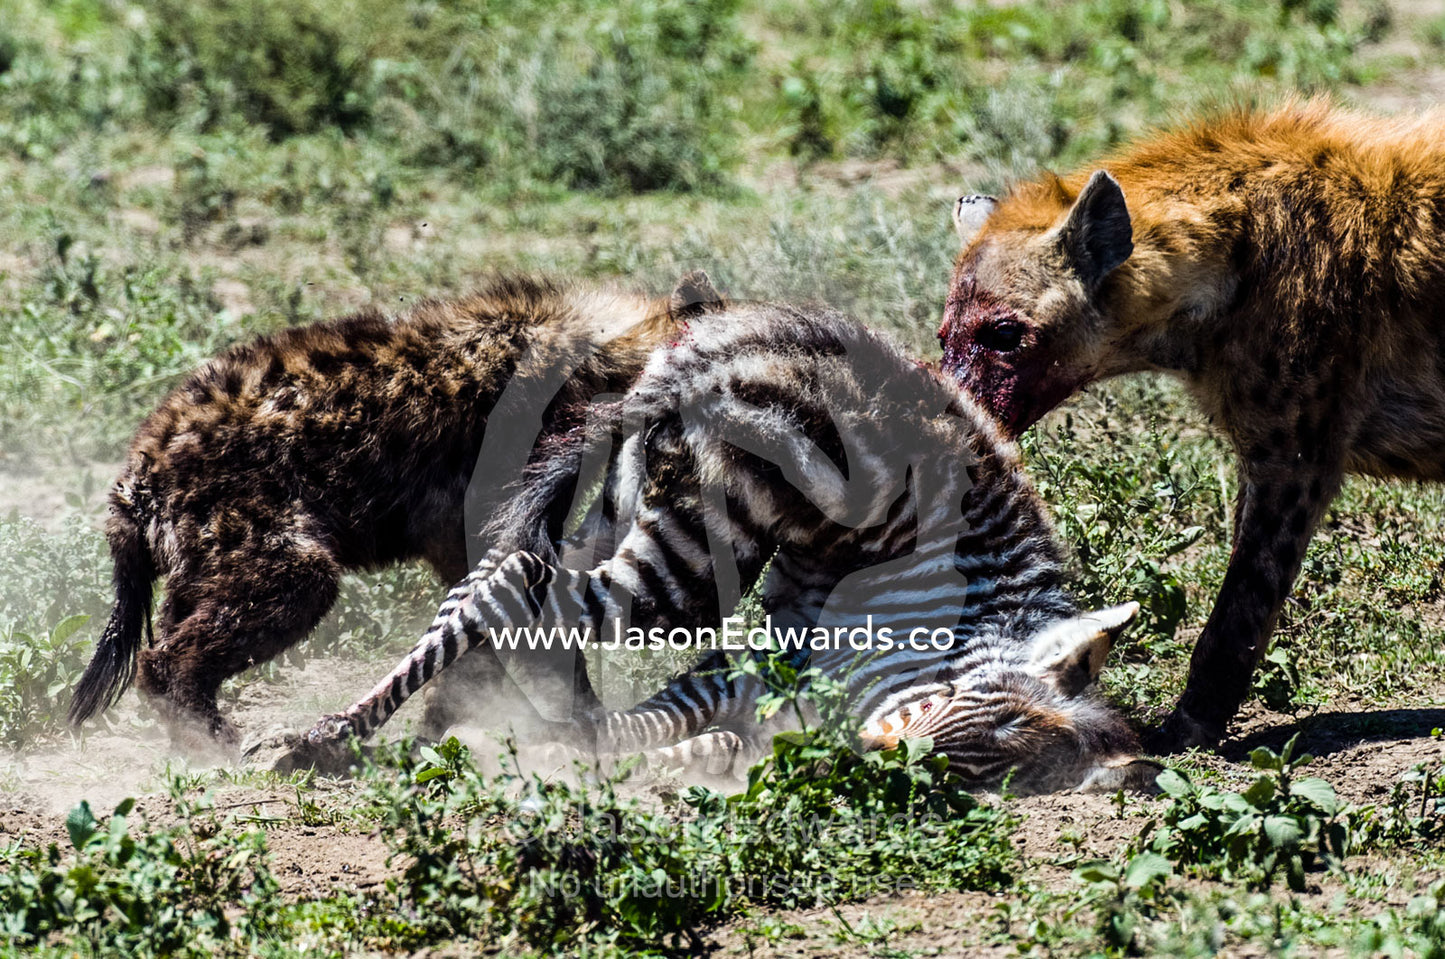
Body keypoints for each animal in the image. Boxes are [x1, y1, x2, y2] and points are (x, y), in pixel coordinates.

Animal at [275, 300, 1156, 794]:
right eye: (962, 705)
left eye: (963, 775)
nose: (871, 754)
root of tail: (714, 352)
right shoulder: (798, 657)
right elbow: (666, 727)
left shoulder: (778, 668)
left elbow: (672, 733)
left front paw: (570, 748)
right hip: (698, 555)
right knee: (520, 578)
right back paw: (335, 734)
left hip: (625, 499)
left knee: (499, 575)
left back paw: (369, 727)